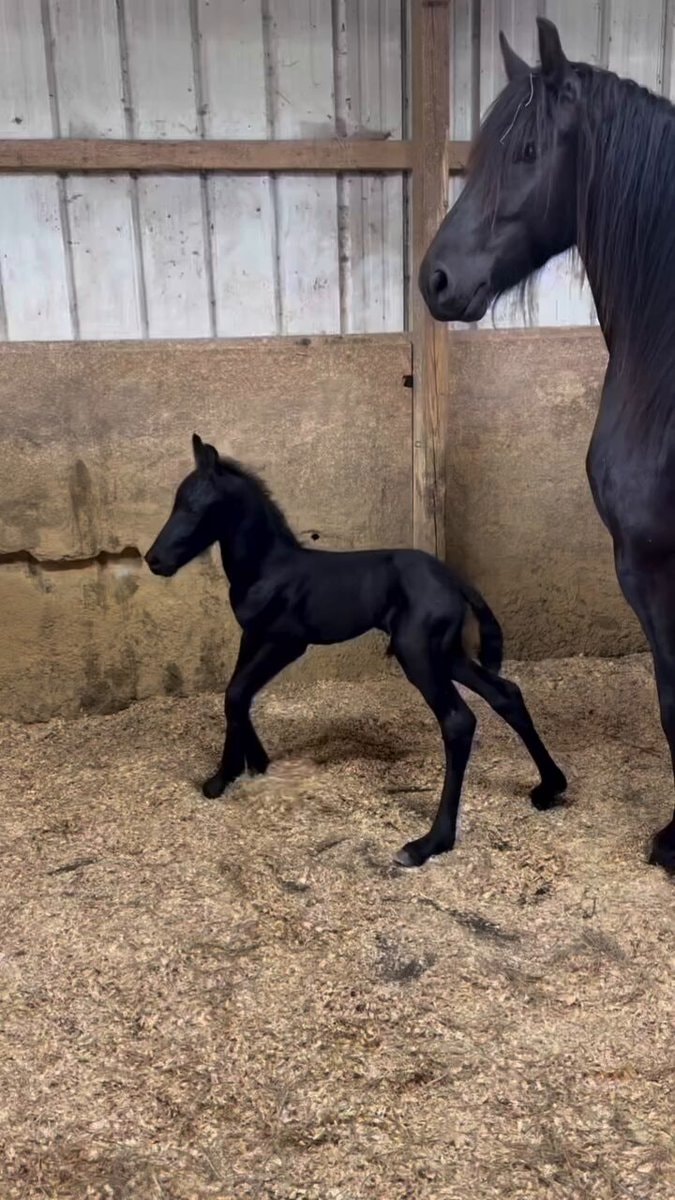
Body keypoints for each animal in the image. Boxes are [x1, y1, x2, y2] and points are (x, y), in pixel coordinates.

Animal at [145, 434, 566, 867]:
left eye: (194, 506)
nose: (153, 560)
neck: (268, 567)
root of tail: (454, 580)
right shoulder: (253, 636)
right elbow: (237, 695)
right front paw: (247, 766)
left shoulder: (286, 642)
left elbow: (236, 693)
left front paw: (226, 774)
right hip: (445, 653)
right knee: (506, 694)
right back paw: (549, 787)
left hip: (418, 654)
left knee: (458, 721)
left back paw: (428, 843)